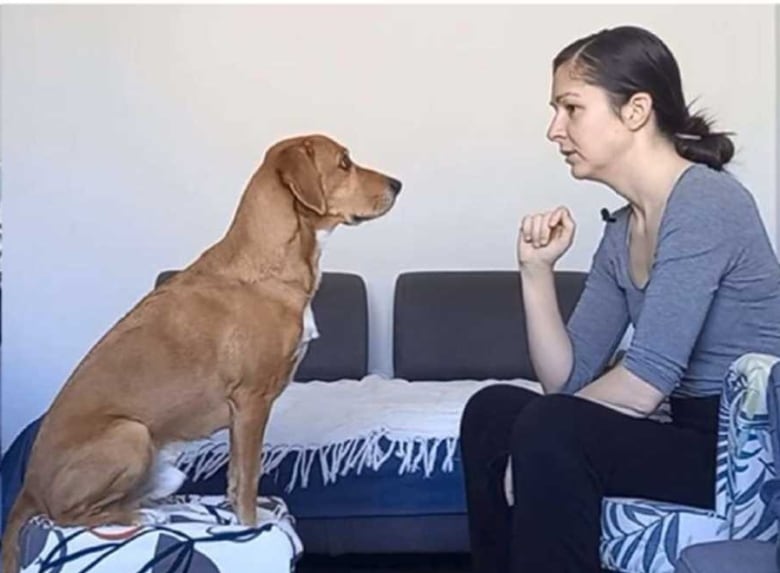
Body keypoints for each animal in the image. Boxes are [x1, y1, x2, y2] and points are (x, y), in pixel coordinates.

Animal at [1, 134, 402, 572]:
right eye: (344, 163)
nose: (398, 184)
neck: (271, 263)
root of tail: (27, 488)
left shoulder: (241, 414)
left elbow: (234, 477)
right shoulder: (251, 402)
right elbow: (249, 476)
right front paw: (250, 526)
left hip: (163, 468)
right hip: (130, 433)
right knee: (66, 514)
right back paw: (142, 516)